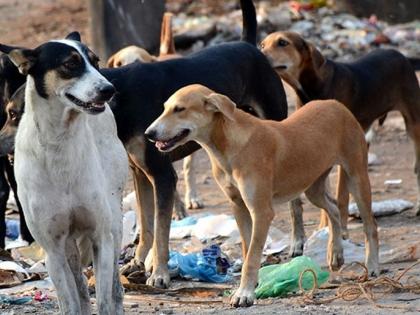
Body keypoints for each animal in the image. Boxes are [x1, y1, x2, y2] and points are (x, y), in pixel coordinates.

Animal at [0, 32, 128, 315]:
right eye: (70, 64)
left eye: (96, 62)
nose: (110, 90)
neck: (60, 141)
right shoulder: (53, 250)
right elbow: (70, 302)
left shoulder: (101, 237)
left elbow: (104, 299)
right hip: (68, 246)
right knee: (80, 289)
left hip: (114, 221)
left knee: (115, 288)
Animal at [145, 84, 380, 308]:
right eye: (165, 108)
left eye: (179, 109)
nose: (148, 133)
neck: (227, 146)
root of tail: (335, 104)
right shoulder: (238, 206)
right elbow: (248, 248)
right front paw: (251, 285)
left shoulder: (261, 211)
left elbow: (252, 256)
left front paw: (245, 294)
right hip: (312, 186)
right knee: (333, 208)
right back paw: (336, 253)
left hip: (357, 177)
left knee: (370, 225)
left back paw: (372, 265)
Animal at [260, 31, 420, 237]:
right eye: (263, 45)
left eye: (282, 42)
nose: (259, 53)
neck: (312, 87)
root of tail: (399, 54)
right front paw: (323, 228)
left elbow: (340, 195)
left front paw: (341, 229)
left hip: (413, 124)